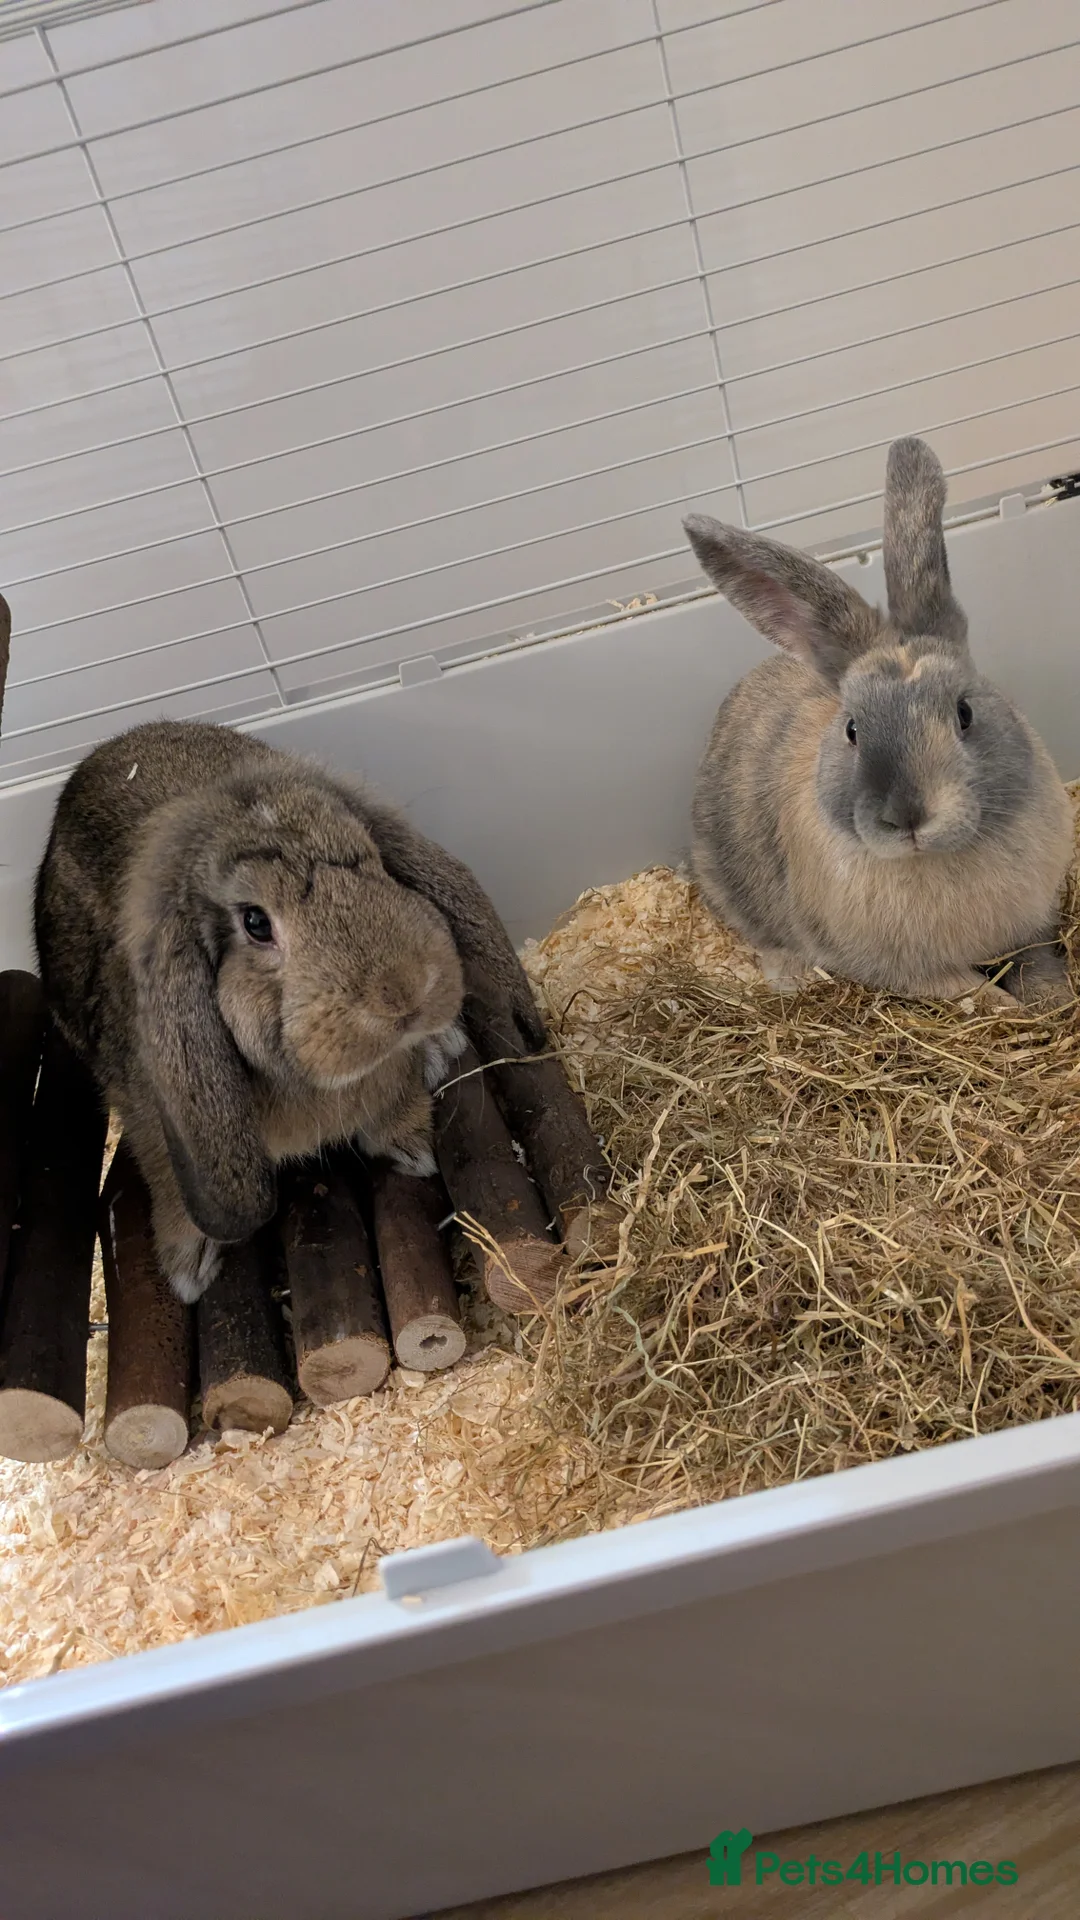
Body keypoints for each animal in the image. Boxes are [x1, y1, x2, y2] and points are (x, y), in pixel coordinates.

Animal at [34, 718, 548, 1303]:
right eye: (256, 922)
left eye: (375, 861)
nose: (403, 993)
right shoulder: (155, 1124)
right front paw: (189, 1273)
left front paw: (414, 1152)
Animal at [682, 437, 1074, 1010]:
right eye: (852, 730)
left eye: (964, 712)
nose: (906, 816)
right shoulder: (911, 971)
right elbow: (971, 993)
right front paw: (1008, 1008)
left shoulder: (1034, 925)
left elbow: (1040, 963)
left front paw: (1056, 1001)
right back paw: (788, 975)